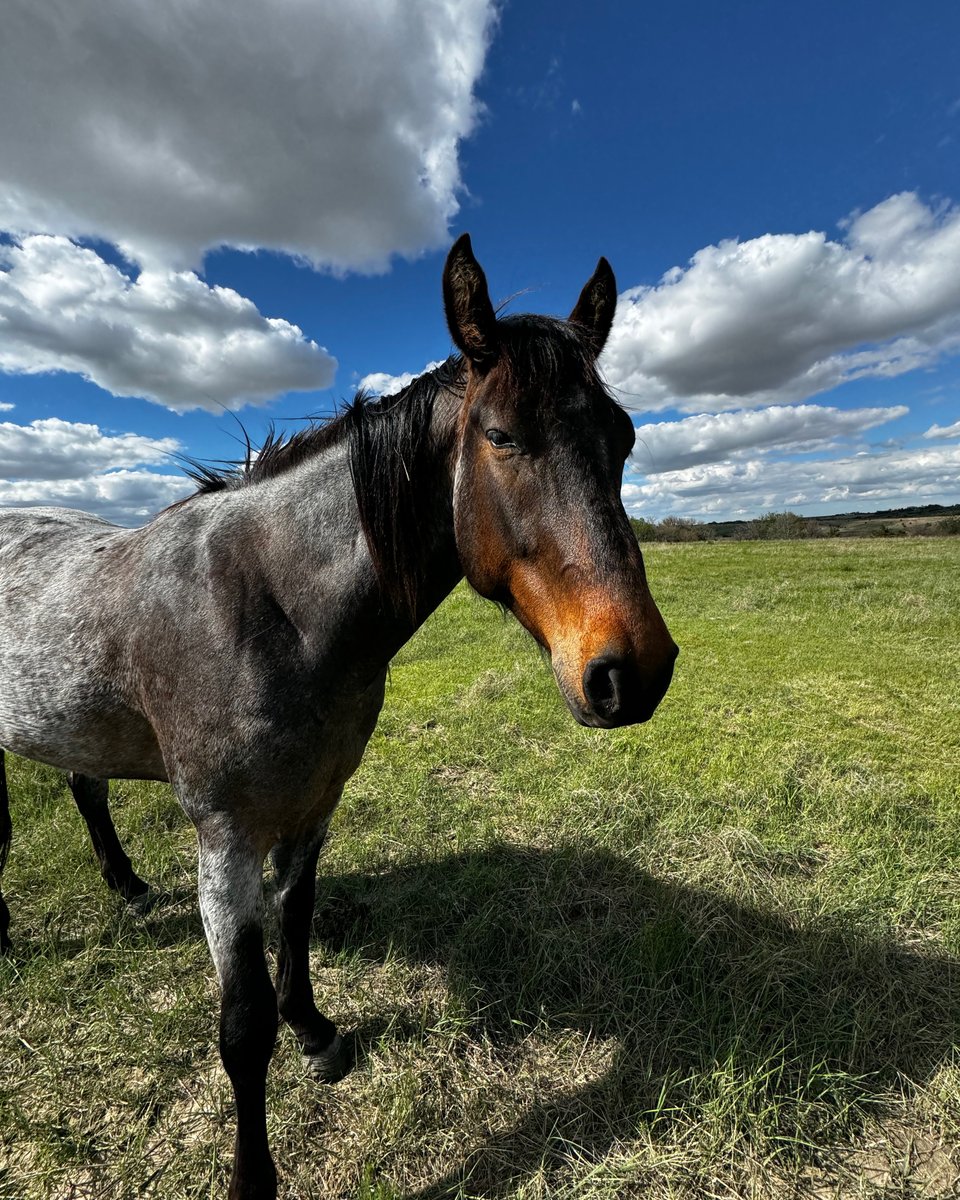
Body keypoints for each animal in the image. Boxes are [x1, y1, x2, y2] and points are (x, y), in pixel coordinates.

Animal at [0, 234, 678, 1199]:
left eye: (622, 438)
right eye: (502, 435)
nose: (633, 671)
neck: (274, 606)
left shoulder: (314, 805)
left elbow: (298, 916)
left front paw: (315, 1032)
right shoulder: (227, 840)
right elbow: (241, 1028)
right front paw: (253, 1177)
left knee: (86, 791)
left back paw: (125, 887)